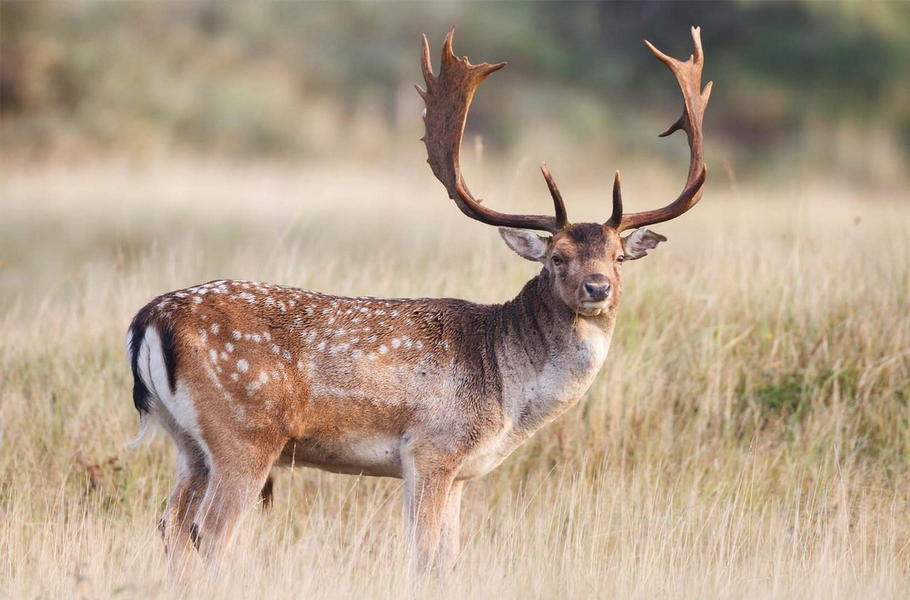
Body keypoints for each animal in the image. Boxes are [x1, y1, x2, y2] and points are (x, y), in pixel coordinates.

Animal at [126, 25, 712, 580]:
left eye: (618, 256)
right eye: (557, 258)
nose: (597, 288)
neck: (506, 391)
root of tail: (149, 319)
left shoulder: (461, 473)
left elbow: (448, 560)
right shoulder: (432, 448)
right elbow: (425, 558)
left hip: (188, 442)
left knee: (170, 525)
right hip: (245, 431)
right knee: (210, 532)